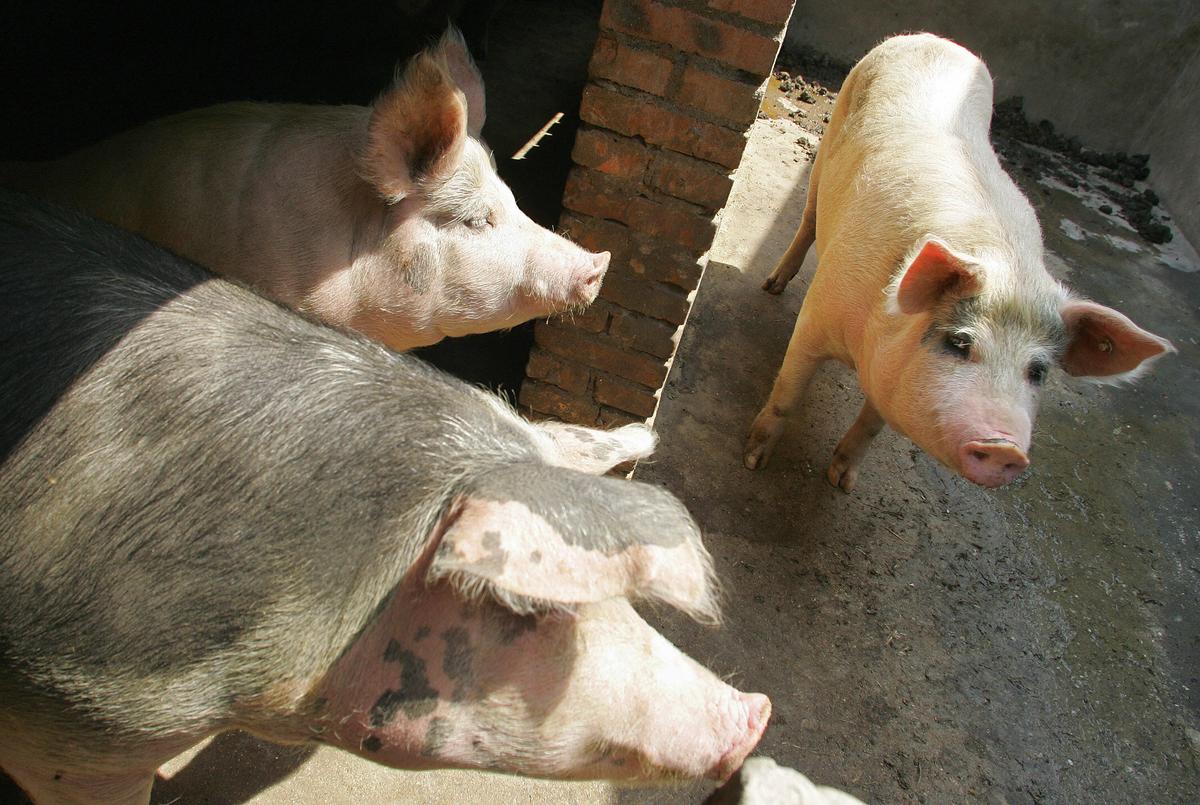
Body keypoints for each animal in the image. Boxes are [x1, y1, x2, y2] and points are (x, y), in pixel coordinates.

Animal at [743, 33, 1174, 491]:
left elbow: (872, 424)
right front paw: (753, 460)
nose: (1006, 449)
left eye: (1038, 371)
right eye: (960, 342)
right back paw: (773, 285)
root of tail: (933, 38)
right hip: (828, 145)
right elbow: (788, 393)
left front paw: (842, 482)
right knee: (808, 219)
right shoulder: (817, 316)